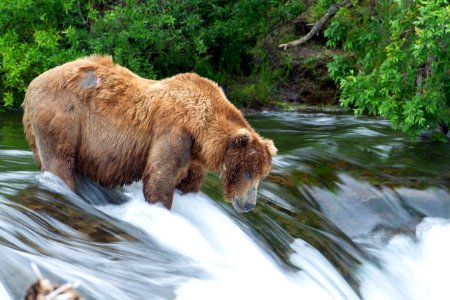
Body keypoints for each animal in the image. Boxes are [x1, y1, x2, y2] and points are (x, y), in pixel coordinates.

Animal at [22, 55, 276, 212]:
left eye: (261, 175)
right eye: (247, 173)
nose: (249, 205)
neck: (200, 129)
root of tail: (32, 84)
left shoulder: (195, 154)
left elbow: (190, 184)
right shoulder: (173, 131)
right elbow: (160, 178)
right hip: (63, 118)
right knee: (59, 163)